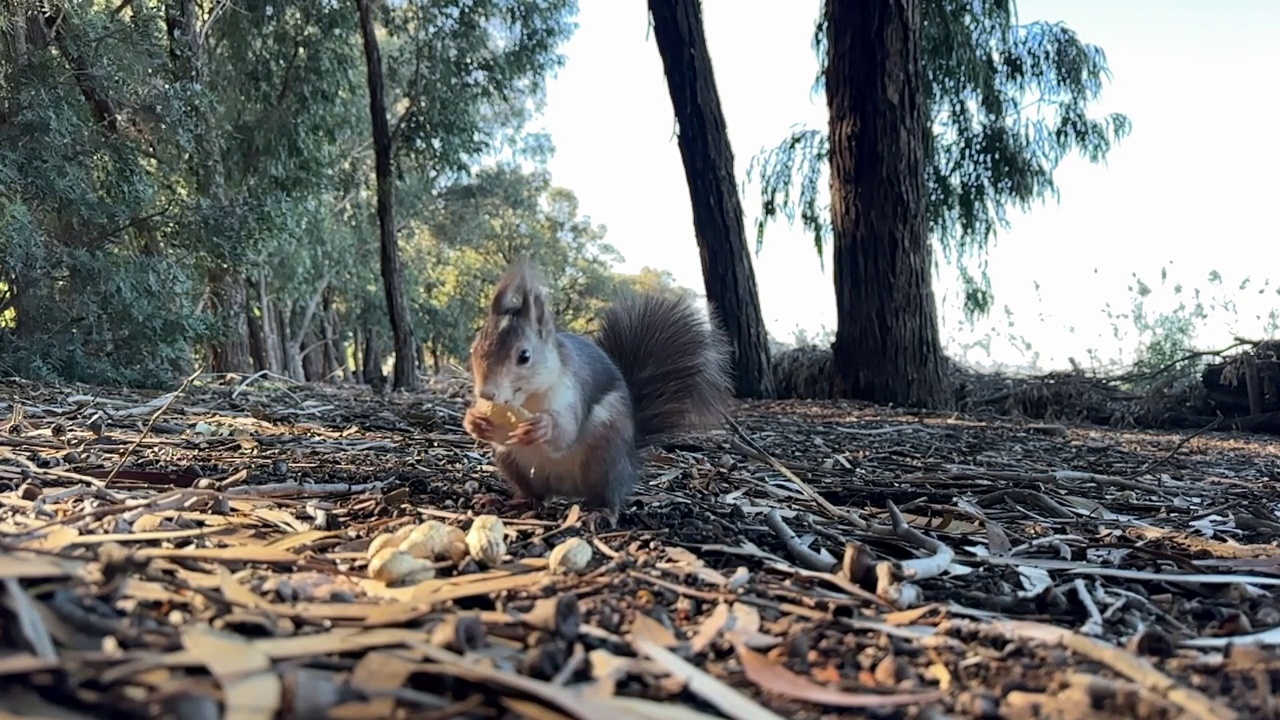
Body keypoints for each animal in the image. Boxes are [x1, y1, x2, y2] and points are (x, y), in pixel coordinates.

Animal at [465, 256, 737, 520]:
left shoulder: (571, 393)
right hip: (513, 463)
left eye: (524, 356)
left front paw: (543, 426)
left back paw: (601, 512)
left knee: (608, 496)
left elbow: (566, 431)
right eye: (473, 348)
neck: (527, 399)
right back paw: (508, 501)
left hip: (606, 455)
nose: (486, 394)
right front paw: (474, 421)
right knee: (537, 496)